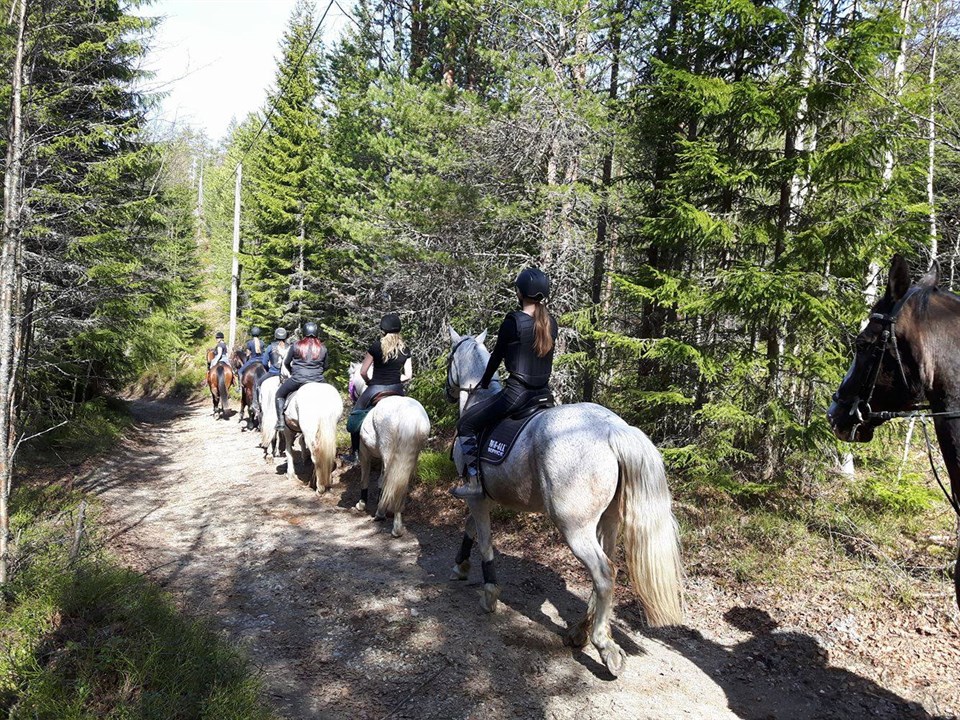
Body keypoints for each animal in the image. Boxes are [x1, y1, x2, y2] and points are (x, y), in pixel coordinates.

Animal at [348, 362, 431, 538]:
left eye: (351, 380)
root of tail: (408, 413)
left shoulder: (365, 453)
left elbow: (366, 478)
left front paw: (362, 504)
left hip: (388, 452)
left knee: (389, 479)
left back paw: (385, 518)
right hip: (412, 454)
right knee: (400, 482)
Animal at [445, 327, 684, 677]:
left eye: (449, 357)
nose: (448, 392)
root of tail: (613, 428)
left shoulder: (476, 495)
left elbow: (484, 540)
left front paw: (488, 594)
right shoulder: (483, 497)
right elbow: (470, 529)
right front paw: (460, 566)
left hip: (574, 525)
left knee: (603, 573)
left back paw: (603, 645)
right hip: (608, 522)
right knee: (607, 571)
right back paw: (580, 631)